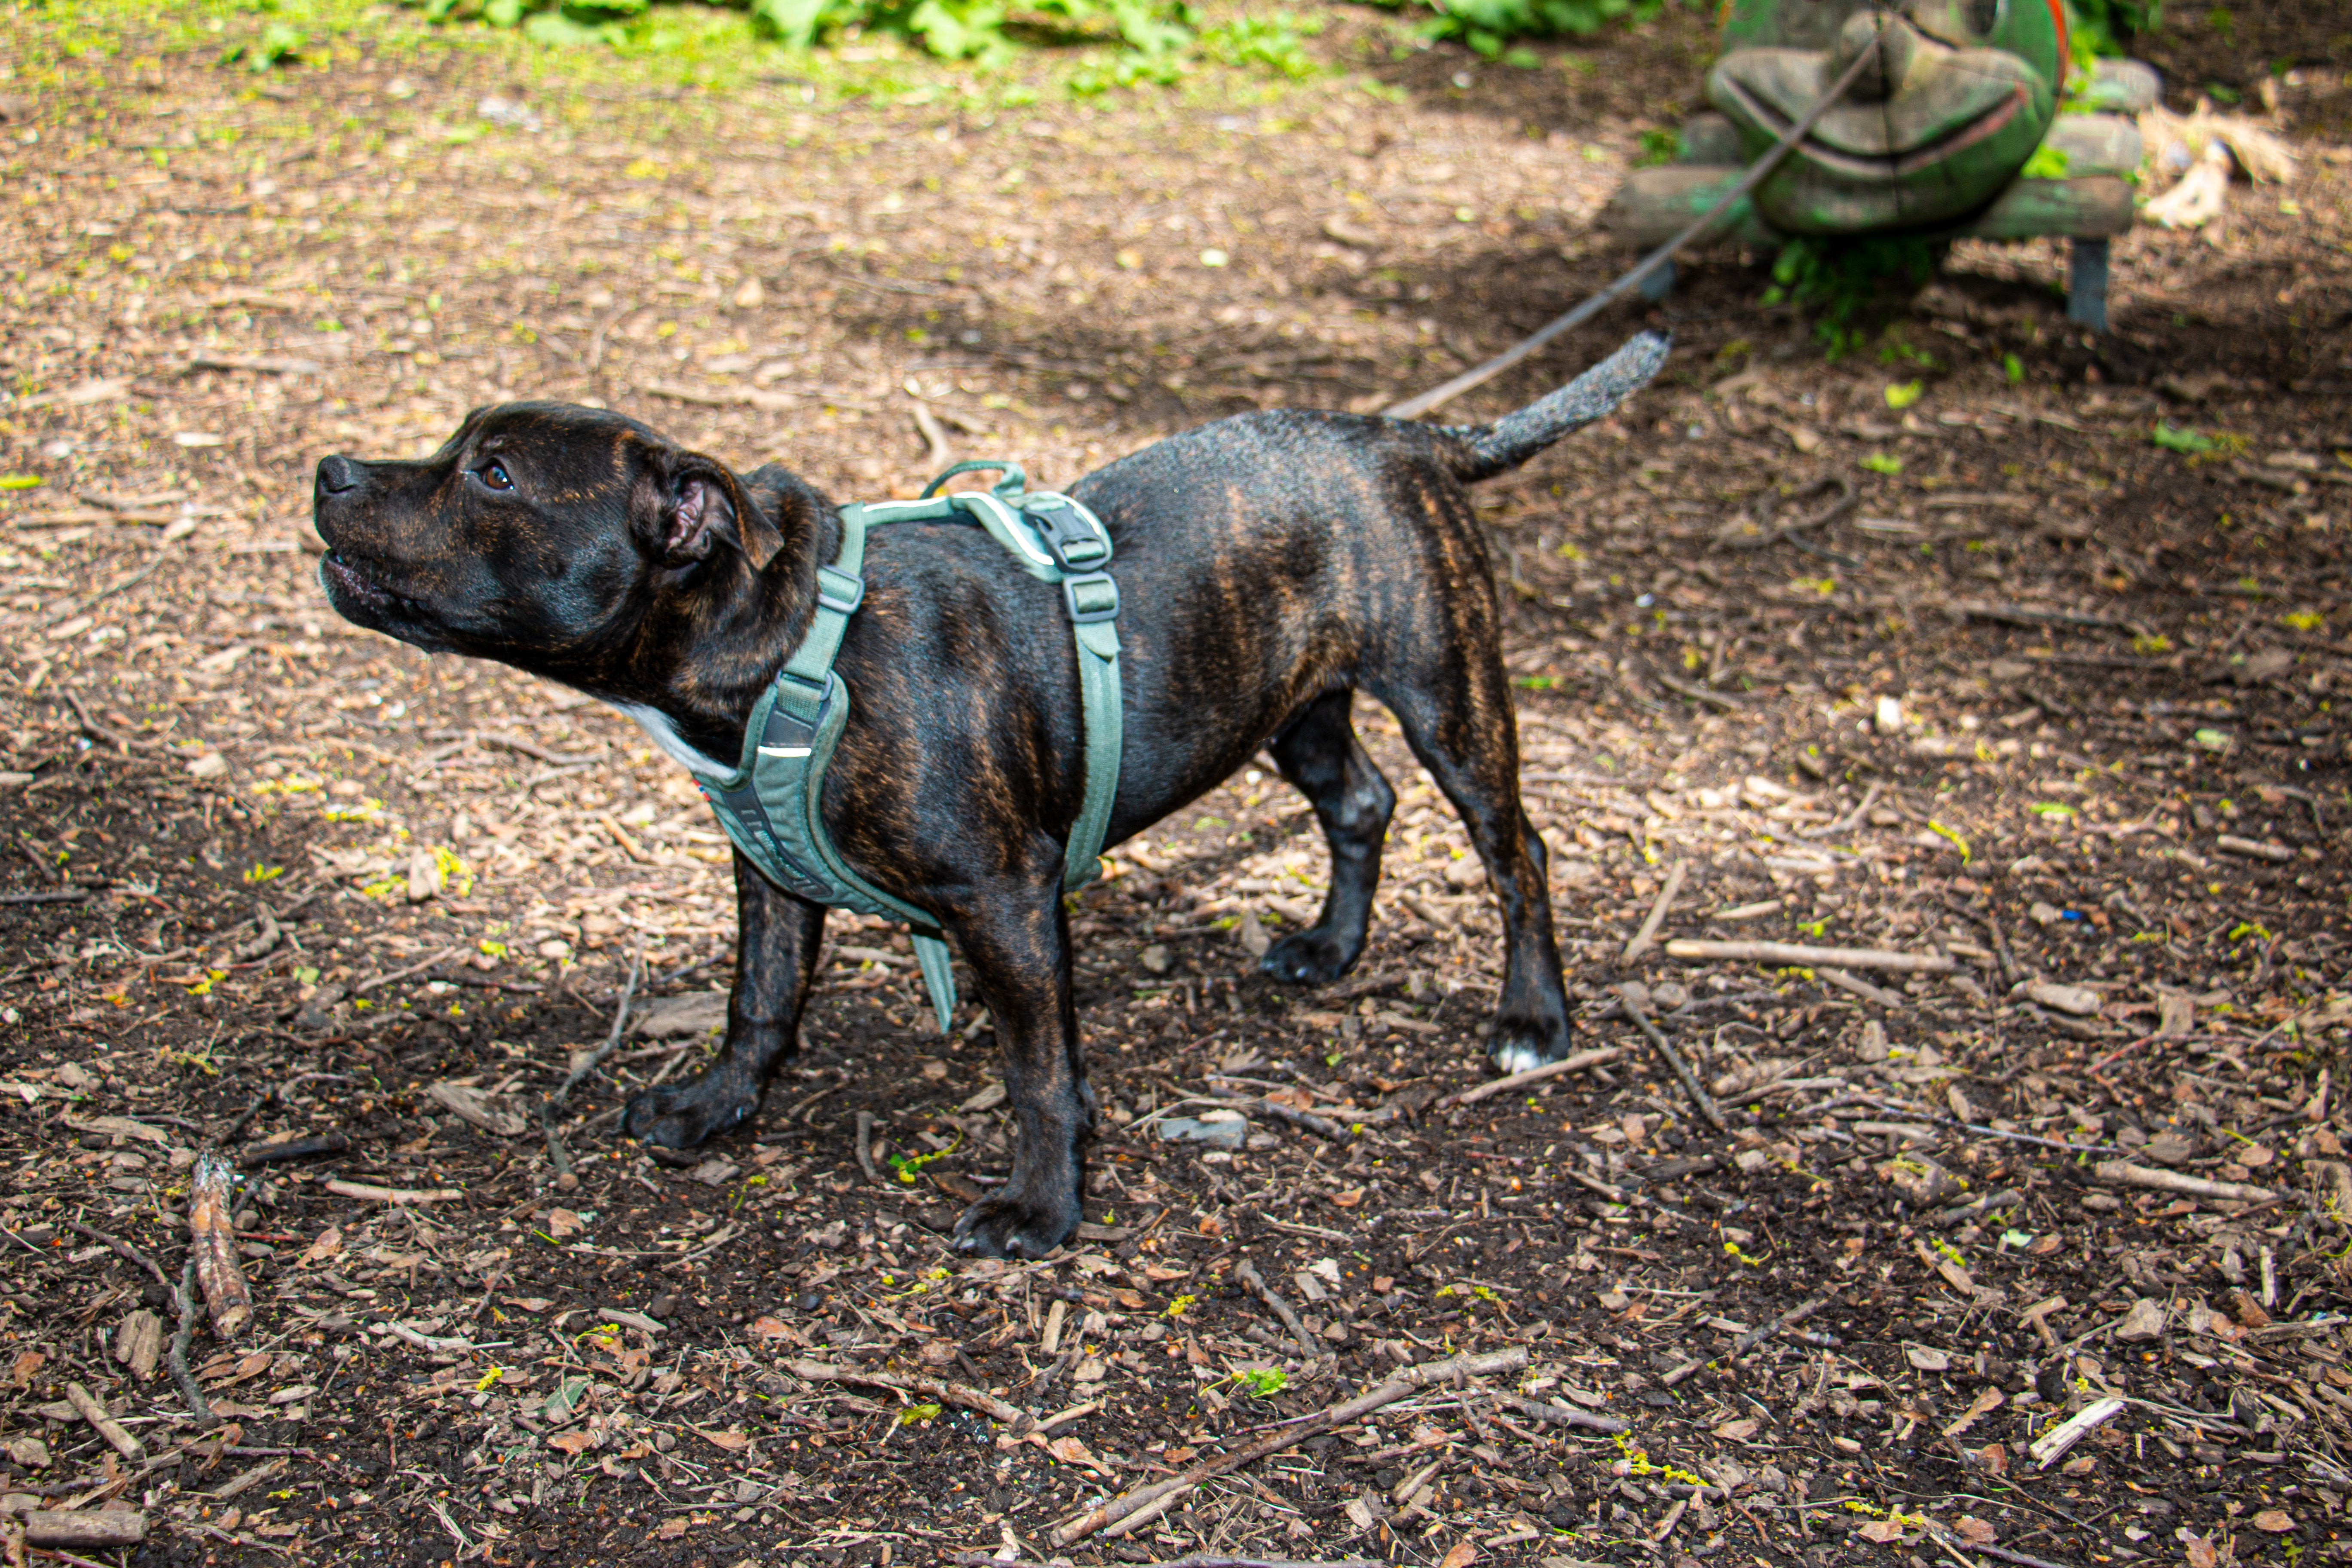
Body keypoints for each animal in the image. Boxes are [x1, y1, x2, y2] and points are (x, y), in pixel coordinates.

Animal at [317, 334, 1675, 1260]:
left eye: (493, 475)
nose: (329, 467)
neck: (790, 640)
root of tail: (1404, 436)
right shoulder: (768, 878)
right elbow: (759, 1006)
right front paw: (715, 1110)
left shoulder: (1007, 903)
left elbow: (1038, 1071)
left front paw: (1041, 1207)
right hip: (1289, 705)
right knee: (1358, 805)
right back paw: (1330, 950)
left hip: (1447, 696)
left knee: (1516, 850)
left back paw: (1533, 1019)